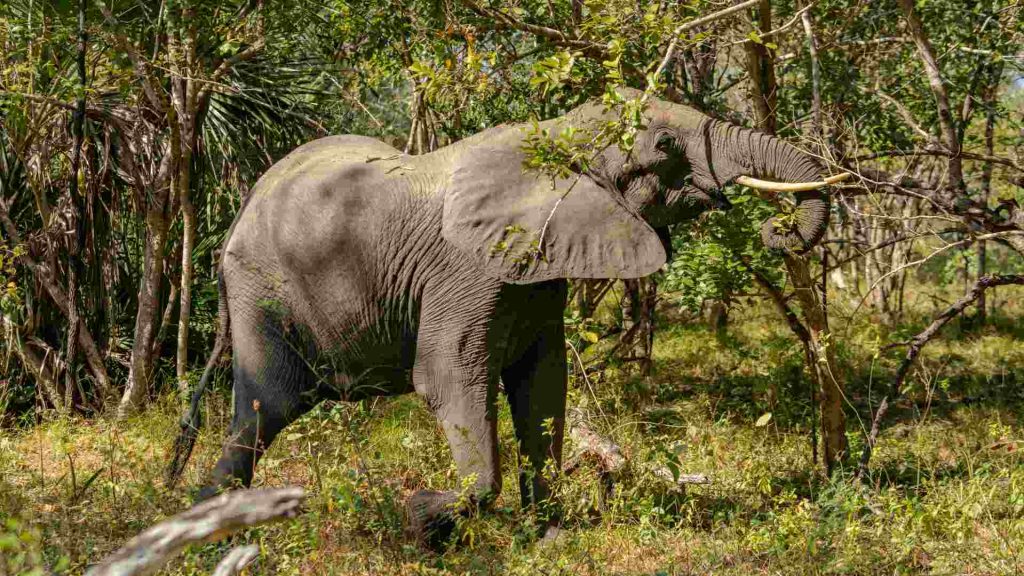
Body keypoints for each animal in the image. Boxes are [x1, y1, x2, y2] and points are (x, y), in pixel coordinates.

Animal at [166, 87, 843, 545]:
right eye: (666, 147)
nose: (776, 229)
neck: (556, 136)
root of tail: (241, 207)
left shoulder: (537, 273)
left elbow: (543, 385)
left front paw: (548, 538)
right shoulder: (469, 270)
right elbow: (449, 378)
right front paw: (419, 519)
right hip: (264, 292)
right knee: (265, 408)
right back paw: (207, 532)